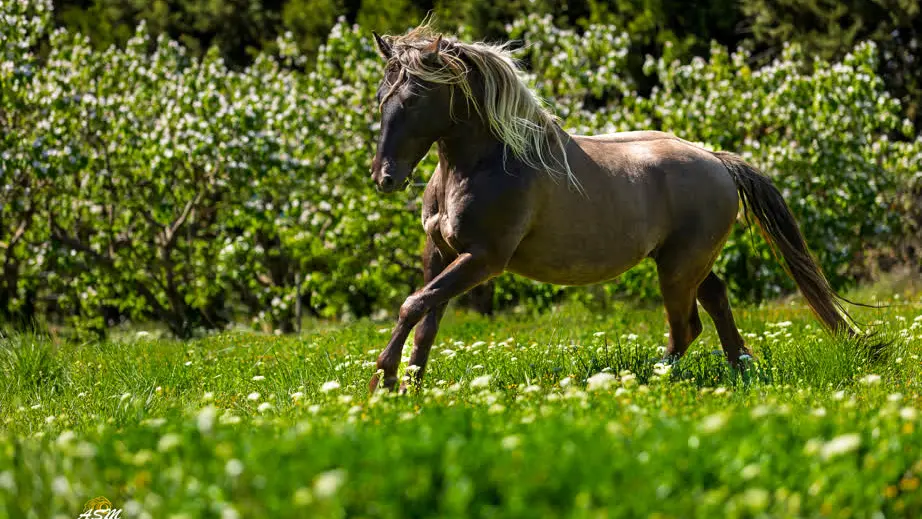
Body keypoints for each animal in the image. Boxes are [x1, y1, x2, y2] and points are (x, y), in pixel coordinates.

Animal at [366, 25, 860, 392]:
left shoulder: (483, 259)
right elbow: (427, 319)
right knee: (716, 302)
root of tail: (717, 160)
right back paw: (740, 369)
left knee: (686, 327)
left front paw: (383, 382)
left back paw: (652, 380)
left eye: (415, 97)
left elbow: (412, 305)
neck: (487, 163)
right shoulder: (440, 253)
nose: (385, 177)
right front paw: (407, 387)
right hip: (686, 262)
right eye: (381, 95)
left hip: (678, 267)